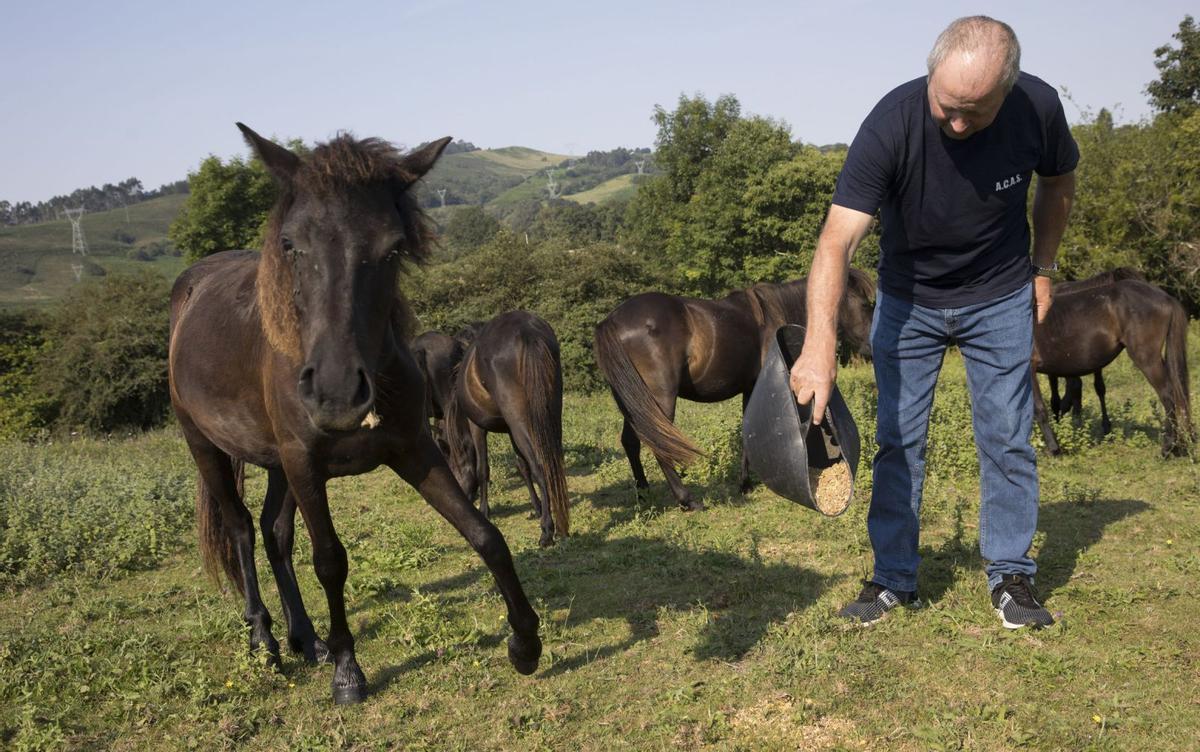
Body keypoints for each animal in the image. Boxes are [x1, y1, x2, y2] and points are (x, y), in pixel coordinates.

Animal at [166, 126, 542, 710]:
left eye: (393, 248)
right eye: (291, 245)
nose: (337, 393)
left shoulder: (413, 450)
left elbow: (486, 536)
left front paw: (525, 642)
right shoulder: (305, 464)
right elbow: (330, 561)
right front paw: (348, 672)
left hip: (278, 466)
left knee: (275, 533)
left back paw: (305, 638)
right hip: (207, 446)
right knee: (242, 529)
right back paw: (265, 638)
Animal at [441, 311, 571, 546]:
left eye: (449, 458)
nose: (463, 496)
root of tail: (526, 329)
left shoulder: (477, 427)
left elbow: (483, 469)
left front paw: (484, 511)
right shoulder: (510, 429)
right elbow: (522, 465)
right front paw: (536, 508)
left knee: (540, 466)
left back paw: (547, 531)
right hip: (550, 413)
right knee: (553, 462)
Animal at [595, 267, 878, 508]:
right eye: (865, 304)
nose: (871, 347)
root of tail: (612, 321)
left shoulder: (749, 388)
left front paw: (745, 483)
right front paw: (745, 484)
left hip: (633, 401)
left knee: (631, 441)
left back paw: (644, 495)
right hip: (659, 400)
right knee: (658, 443)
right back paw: (687, 500)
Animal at [1032, 273, 1190, 455]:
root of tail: (1166, 297)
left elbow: (1038, 408)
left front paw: (1053, 449)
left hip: (1147, 358)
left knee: (1167, 394)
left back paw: (1168, 448)